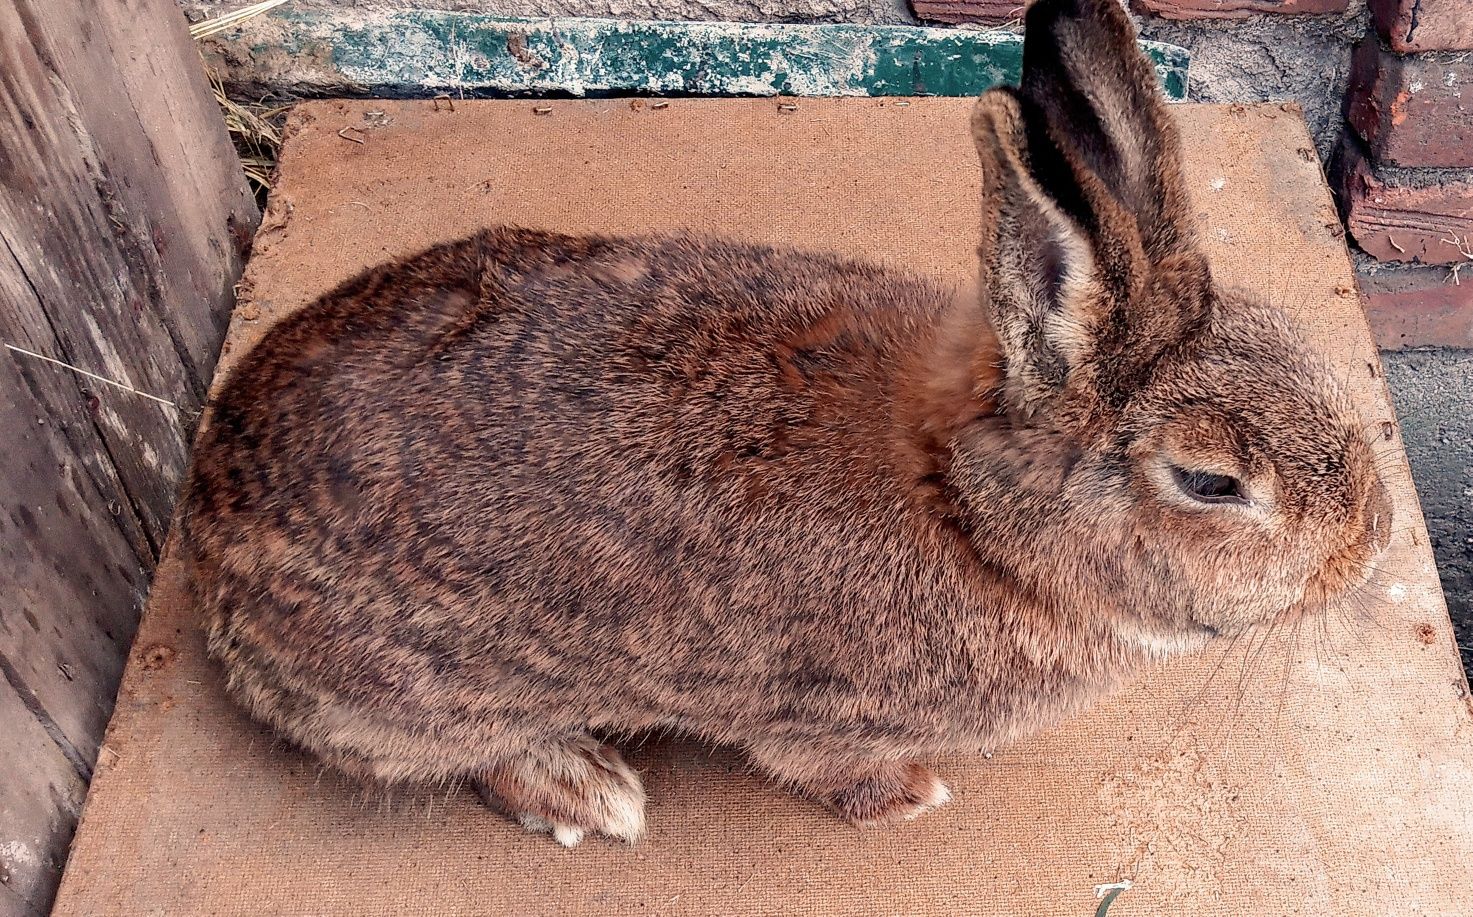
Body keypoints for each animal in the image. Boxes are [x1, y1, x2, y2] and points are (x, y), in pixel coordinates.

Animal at [178, 0, 1384, 847]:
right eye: (1213, 482)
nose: (1363, 551)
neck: (971, 513)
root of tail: (201, 527)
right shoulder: (816, 719)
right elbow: (820, 765)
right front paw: (909, 797)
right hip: (429, 697)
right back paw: (590, 792)